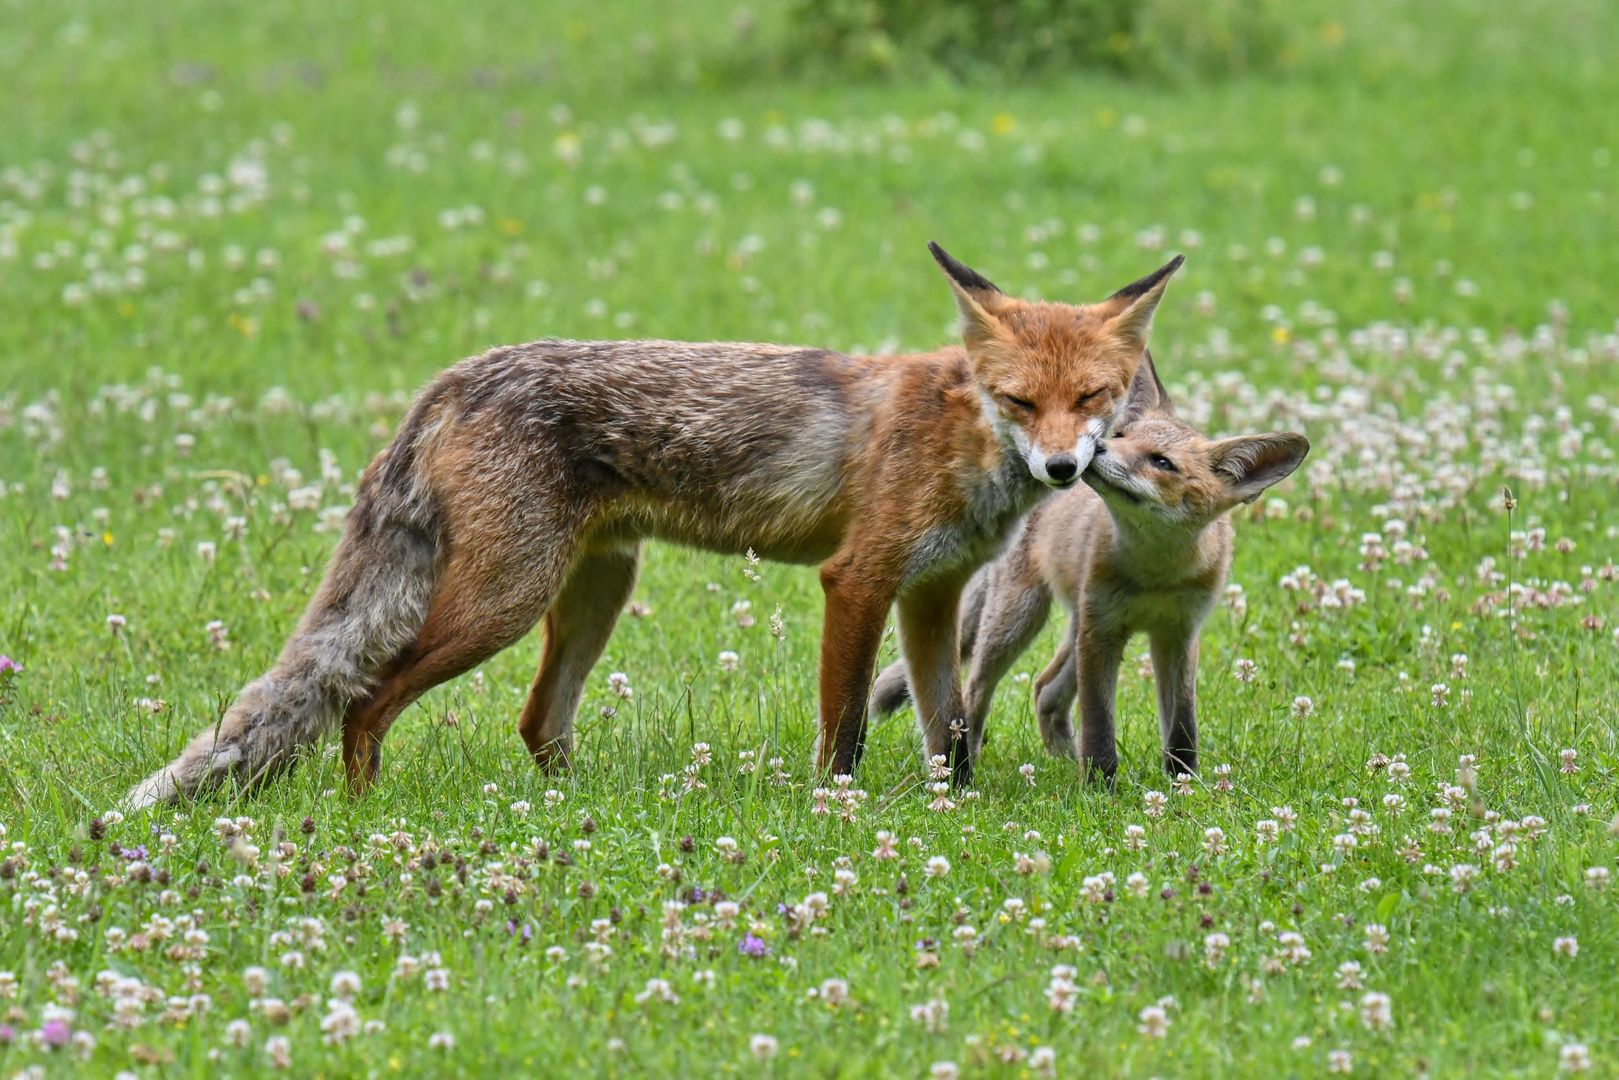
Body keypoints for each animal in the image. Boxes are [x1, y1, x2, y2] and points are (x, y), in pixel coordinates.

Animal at [126, 241, 1185, 806]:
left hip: (595, 591)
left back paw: (559, 810)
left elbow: (951, 725)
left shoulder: (930, 592)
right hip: (504, 600)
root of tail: (454, 375)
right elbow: (844, 727)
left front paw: (948, 810)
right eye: (1019, 400)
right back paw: (363, 812)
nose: (1061, 467)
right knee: (365, 700)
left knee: (534, 721)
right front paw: (837, 813)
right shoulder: (858, 578)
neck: (963, 437)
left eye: (1093, 397)